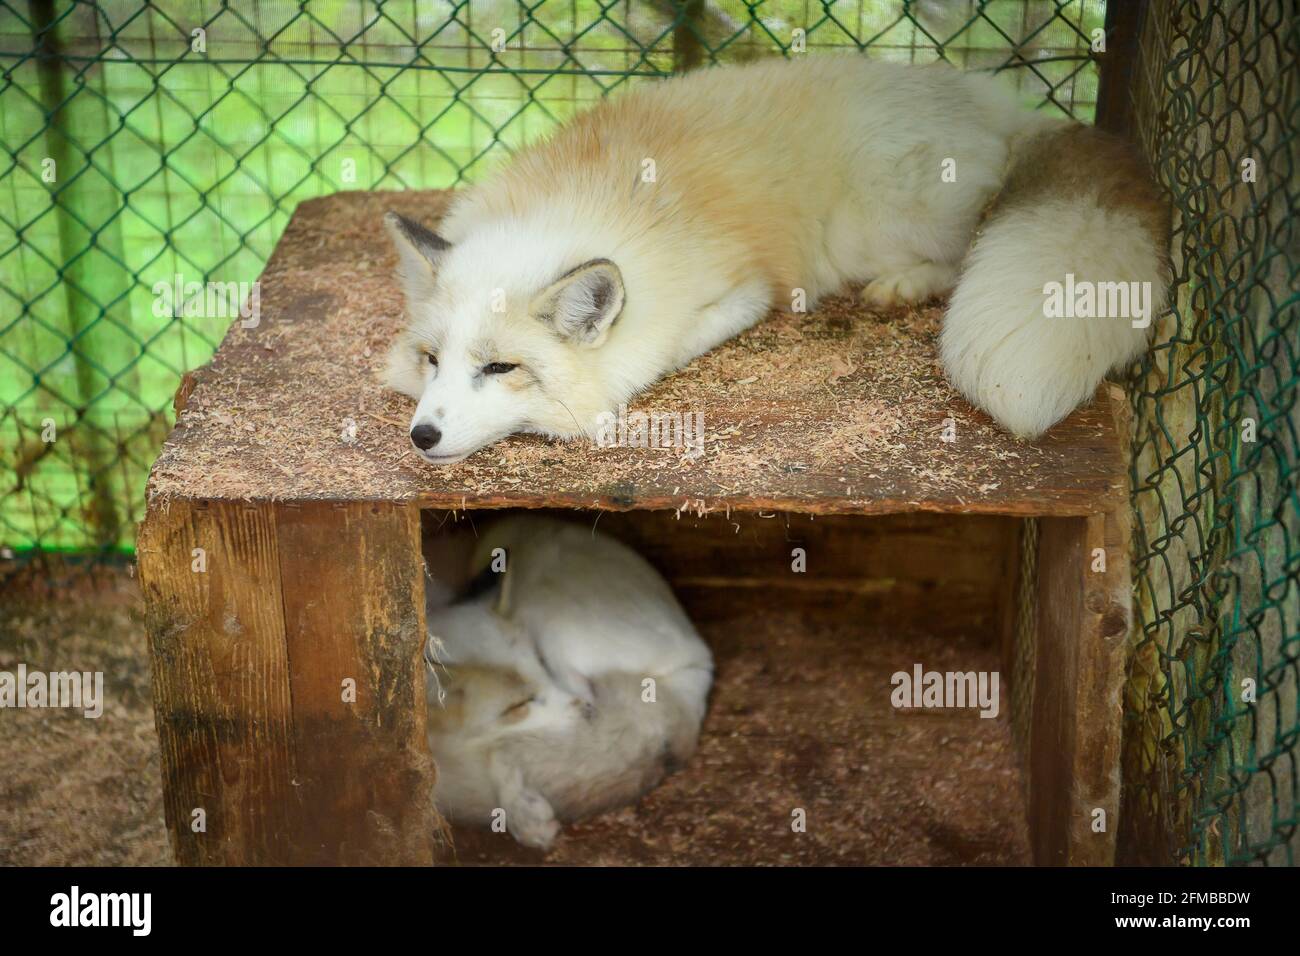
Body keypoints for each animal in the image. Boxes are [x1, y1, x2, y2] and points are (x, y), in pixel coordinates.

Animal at [423, 520, 712, 848]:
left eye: (542, 661)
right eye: (520, 703)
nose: (584, 708)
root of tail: (699, 660)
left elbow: (497, 749)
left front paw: (524, 814)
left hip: (552, 622)